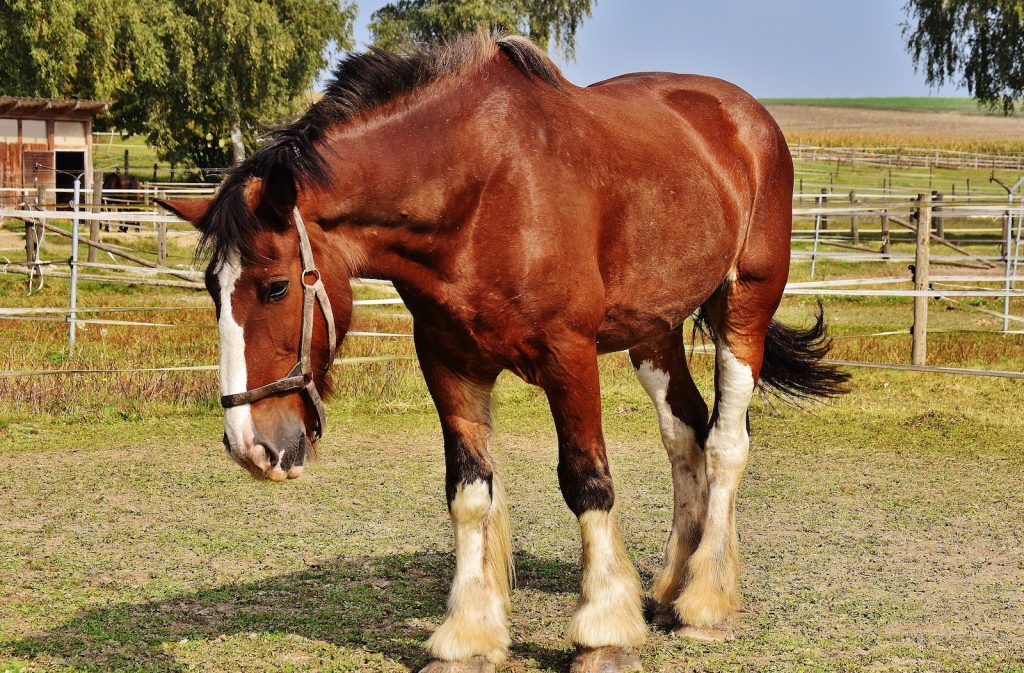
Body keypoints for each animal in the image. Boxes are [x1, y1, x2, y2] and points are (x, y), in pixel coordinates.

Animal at [157, 32, 847, 671]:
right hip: (654, 330)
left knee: (726, 442)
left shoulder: (569, 358)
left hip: (744, 308)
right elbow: (469, 493)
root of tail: (747, 118)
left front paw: (602, 632)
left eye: (275, 286)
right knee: (685, 434)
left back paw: (705, 603)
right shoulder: (449, 364)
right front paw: (467, 636)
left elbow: (588, 483)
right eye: (212, 290)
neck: (481, 192)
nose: (250, 446)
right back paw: (669, 589)